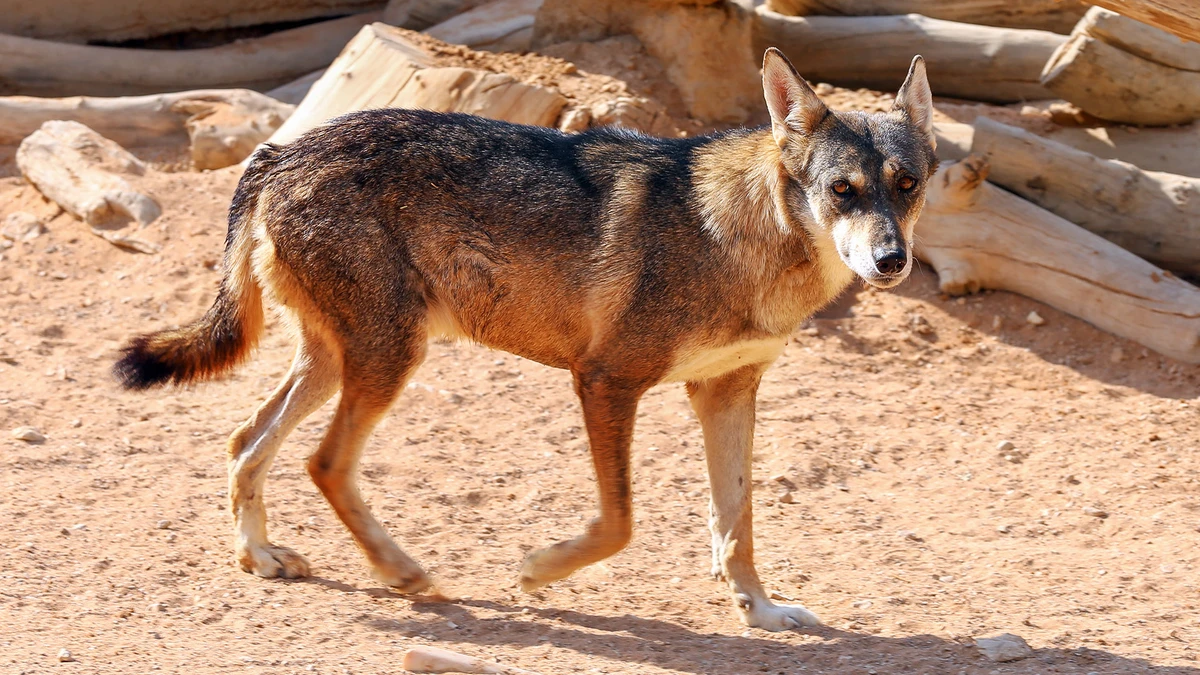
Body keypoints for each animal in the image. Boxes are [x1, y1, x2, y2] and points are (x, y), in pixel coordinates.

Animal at [114, 48, 937, 630]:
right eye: (842, 192)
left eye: (907, 186)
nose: (891, 261)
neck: (735, 238)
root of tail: (282, 150)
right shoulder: (605, 380)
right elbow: (619, 522)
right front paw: (538, 570)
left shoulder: (726, 393)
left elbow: (737, 523)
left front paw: (761, 610)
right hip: (388, 361)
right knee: (322, 462)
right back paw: (403, 573)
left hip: (336, 363)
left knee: (244, 439)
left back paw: (259, 556)